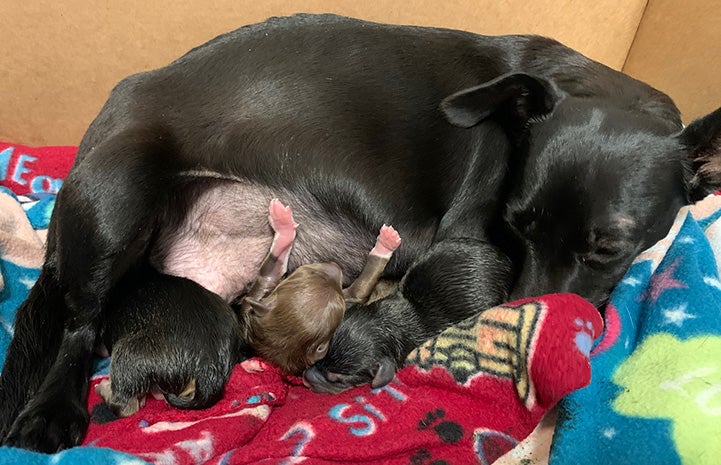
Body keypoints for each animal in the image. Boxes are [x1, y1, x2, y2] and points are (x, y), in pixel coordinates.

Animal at [1, 13, 720, 450]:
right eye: (515, 223)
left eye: (608, 246)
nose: (528, 313)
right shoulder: (469, 233)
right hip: (116, 193)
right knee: (81, 325)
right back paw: (51, 413)